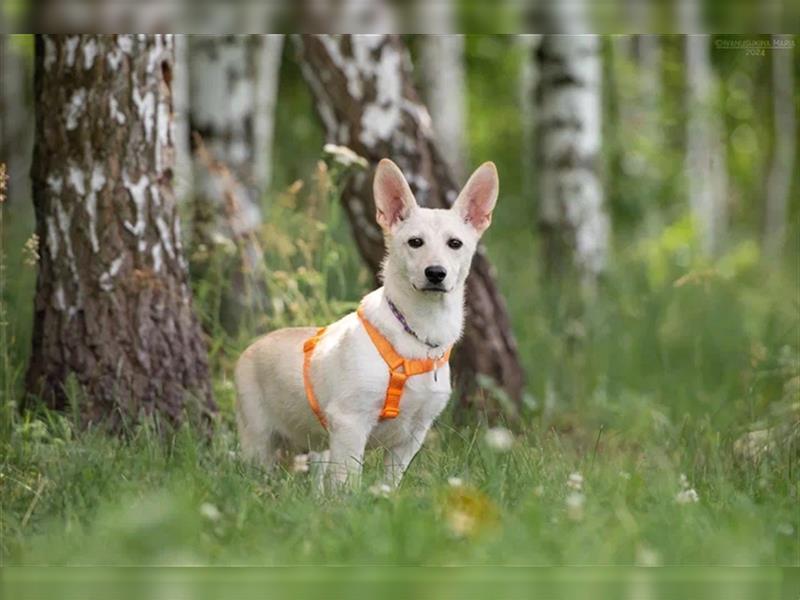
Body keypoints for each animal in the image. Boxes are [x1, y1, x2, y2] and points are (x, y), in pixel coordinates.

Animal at [234, 159, 496, 488]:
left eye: (455, 243)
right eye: (415, 242)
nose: (436, 273)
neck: (418, 334)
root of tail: (253, 346)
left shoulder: (412, 436)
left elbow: (389, 484)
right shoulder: (350, 423)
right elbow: (347, 484)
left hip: (319, 449)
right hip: (259, 440)